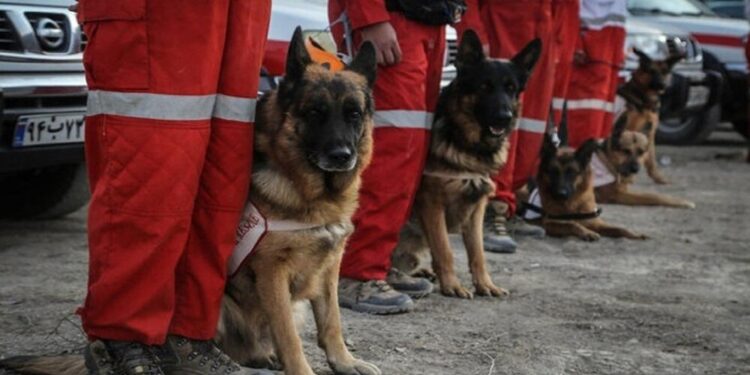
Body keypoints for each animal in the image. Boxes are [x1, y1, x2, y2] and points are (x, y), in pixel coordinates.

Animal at [0, 27, 382, 375]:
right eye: (315, 112)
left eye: (354, 114)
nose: (341, 156)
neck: (309, 189)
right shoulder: (272, 272)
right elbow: (288, 336)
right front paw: (302, 369)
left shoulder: (329, 266)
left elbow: (331, 320)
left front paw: (344, 362)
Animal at [390, 30, 544, 300]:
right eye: (484, 87)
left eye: (511, 89)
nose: (504, 118)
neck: (469, 144)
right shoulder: (432, 203)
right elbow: (445, 249)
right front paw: (452, 285)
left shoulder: (477, 206)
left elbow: (478, 253)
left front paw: (485, 284)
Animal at [616, 48, 688, 187]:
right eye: (651, 71)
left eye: (665, 71)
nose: (662, 85)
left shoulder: (649, 133)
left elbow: (651, 159)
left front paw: (658, 178)